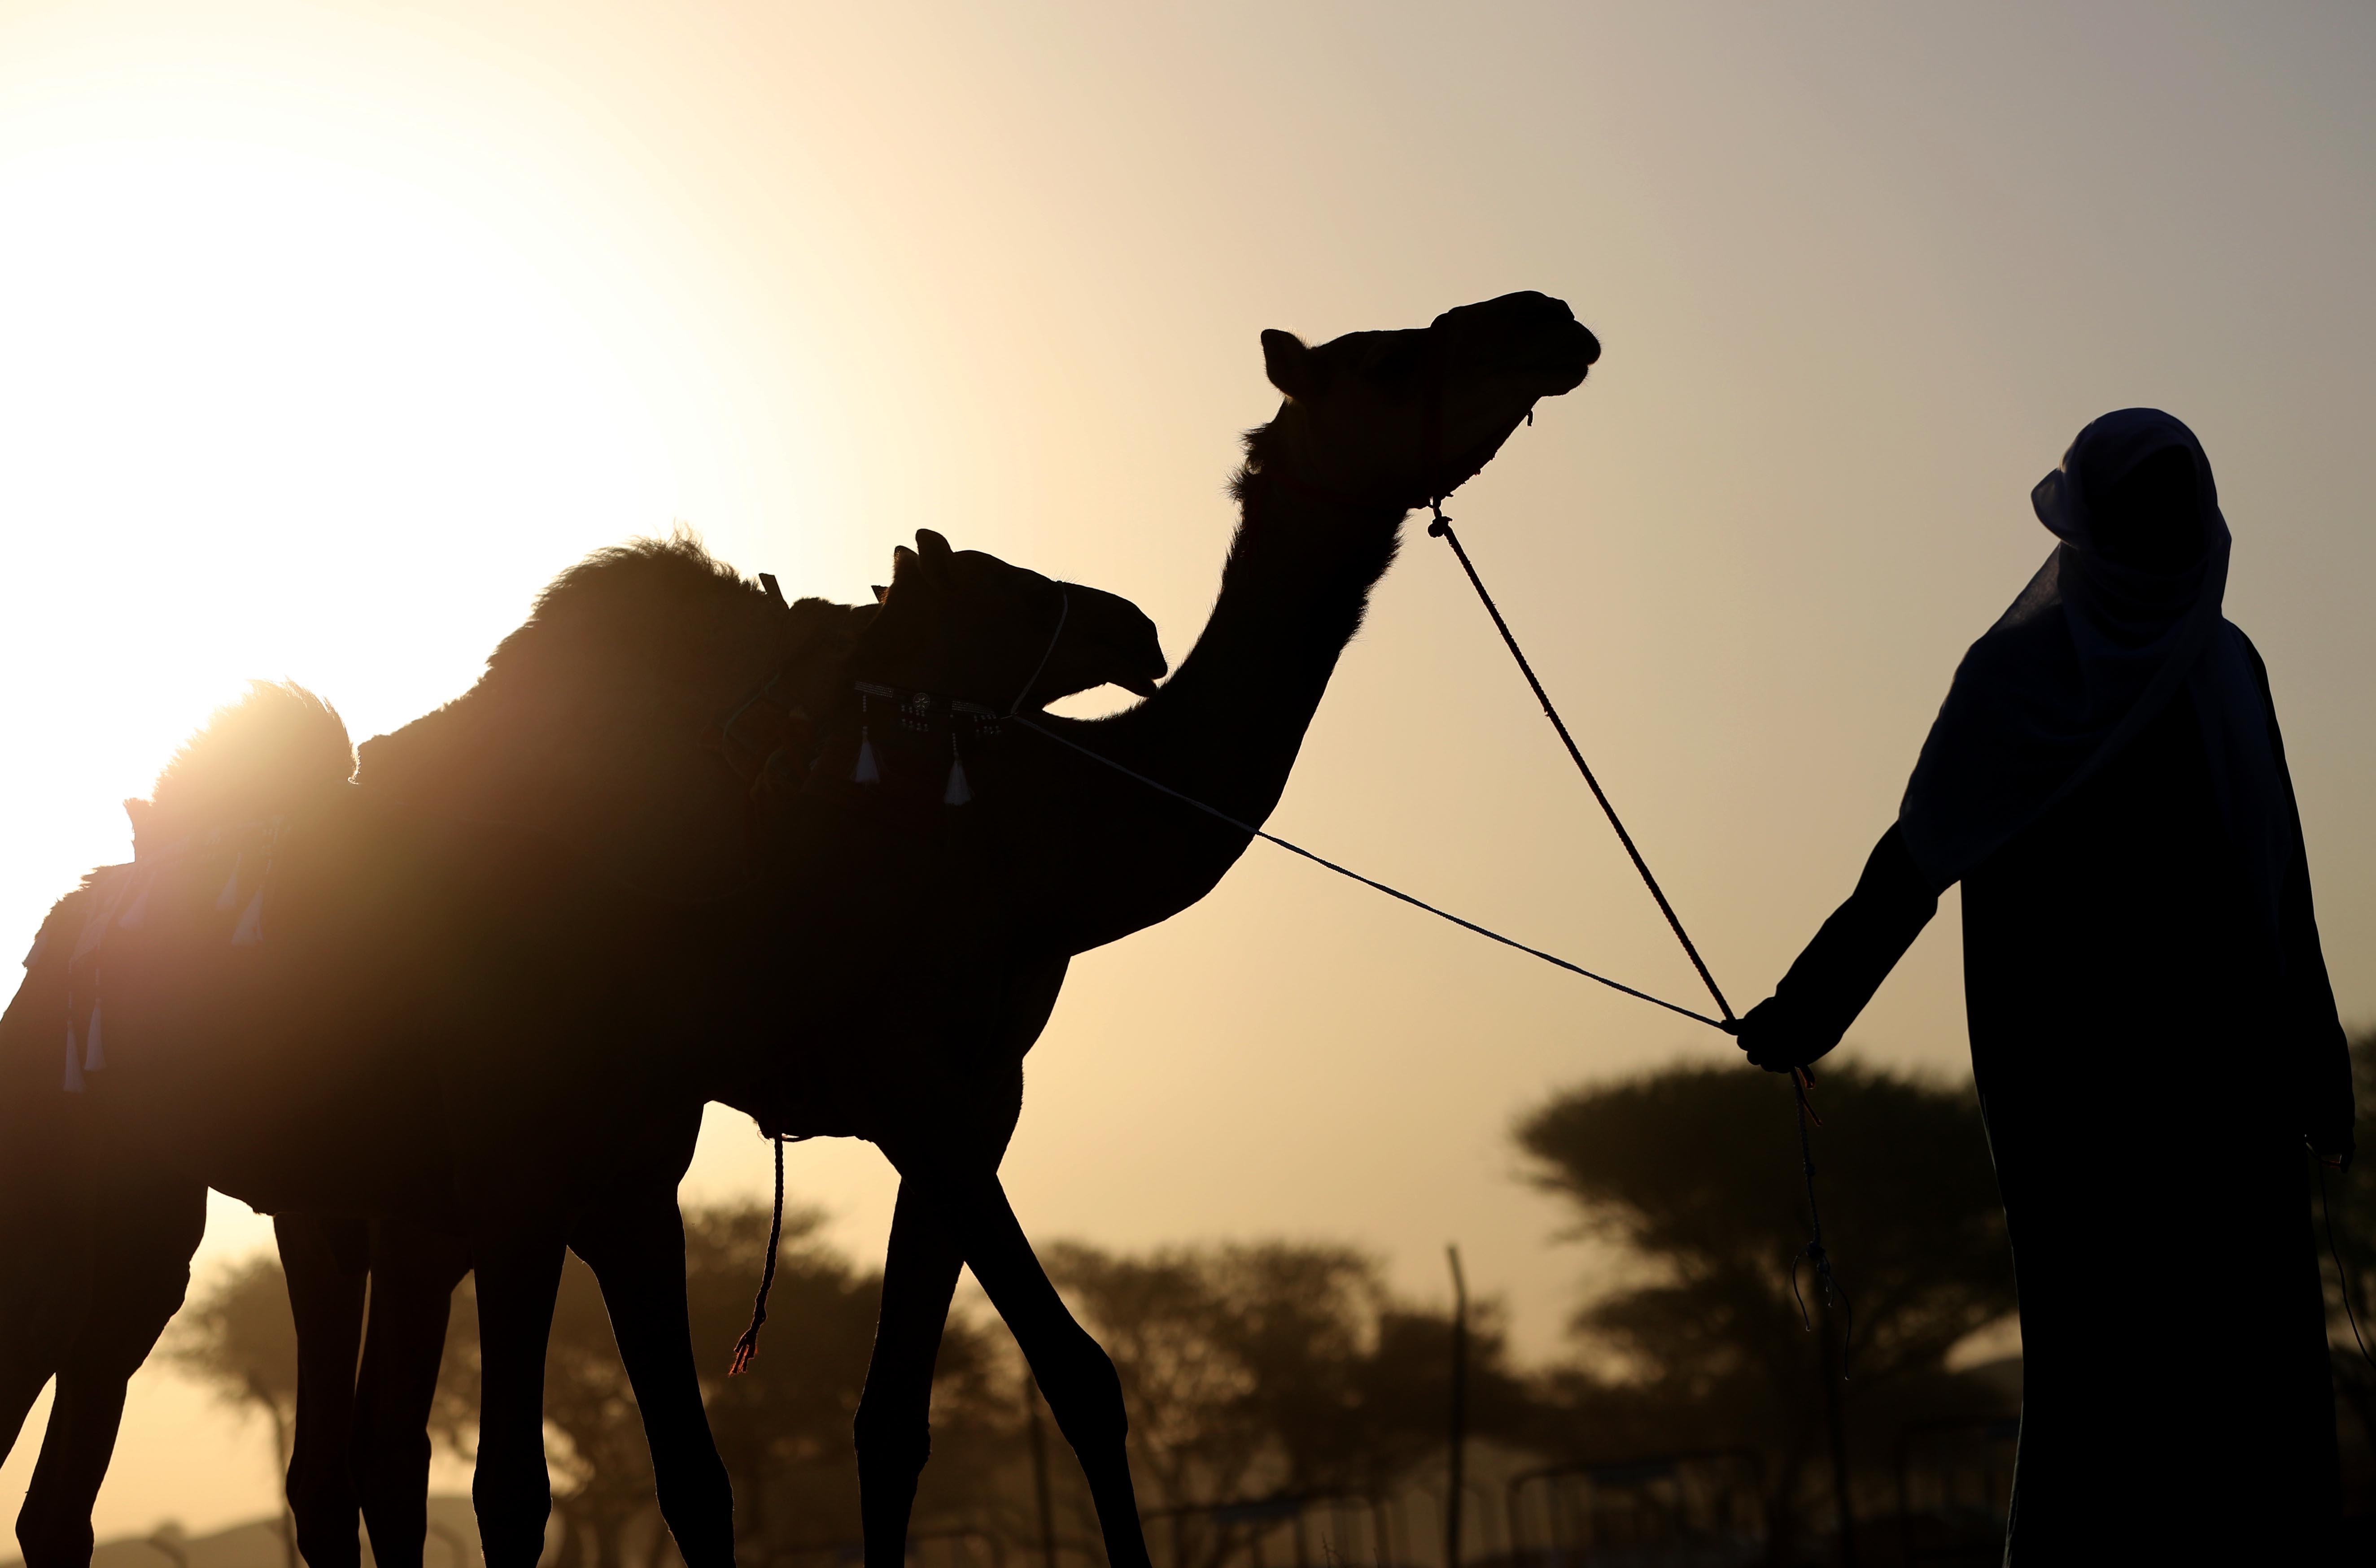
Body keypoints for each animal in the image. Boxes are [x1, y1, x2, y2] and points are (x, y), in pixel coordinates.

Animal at [4, 291, 1596, 1568]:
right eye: (1386, 358)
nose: (1547, 319)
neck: (1032, 837)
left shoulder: (927, 1108)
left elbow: (882, 1423)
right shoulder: (856, 1097)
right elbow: (1058, 1378)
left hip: (339, 1202)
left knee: (319, 1462)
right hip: (142, 1189)